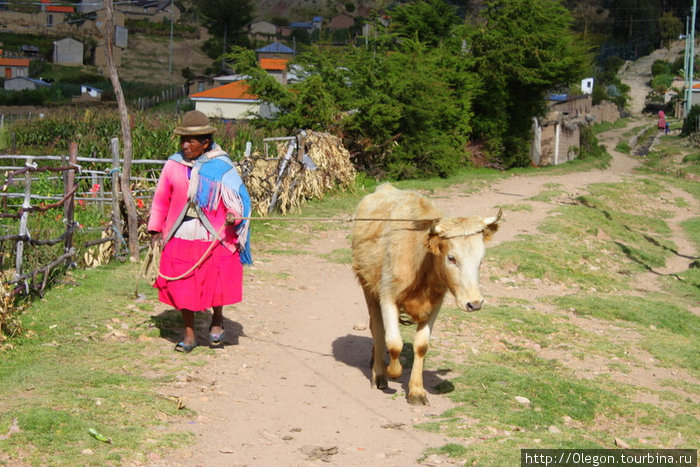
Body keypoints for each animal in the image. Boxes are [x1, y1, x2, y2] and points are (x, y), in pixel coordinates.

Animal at [352, 185, 500, 404]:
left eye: (480, 259)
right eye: (451, 258)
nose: (474, 303)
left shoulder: (435, 304)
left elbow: (421, 345)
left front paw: (416, 390)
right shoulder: (387, 297)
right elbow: (394, 343)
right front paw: (393, 371)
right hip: (368, 287)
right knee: (377, 329)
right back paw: (379, 373)